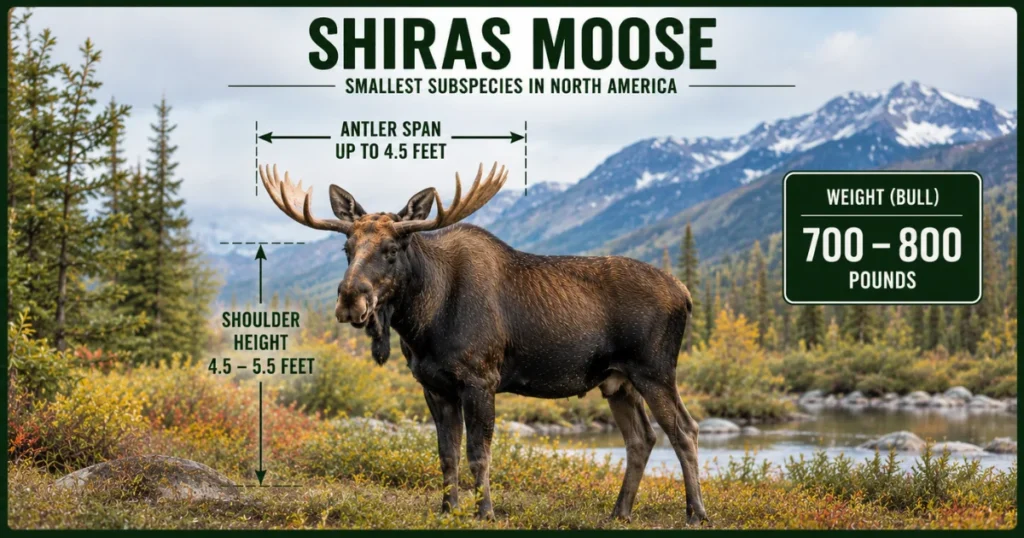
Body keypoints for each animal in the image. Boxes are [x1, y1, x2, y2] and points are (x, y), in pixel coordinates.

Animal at [259, 162, 708, 524]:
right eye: (347, 247)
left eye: (392, 249)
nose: (351, 299)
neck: (422, 323)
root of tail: (685, 293)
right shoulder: (434, 385)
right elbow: (447, 453)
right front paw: (447, 509)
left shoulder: (480, 378)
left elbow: (479, 452)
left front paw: (485, 511)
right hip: (617, 380)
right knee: (641, 438)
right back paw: (620, 511)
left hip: (655, 370)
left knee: (684, 429)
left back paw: (695, 512)